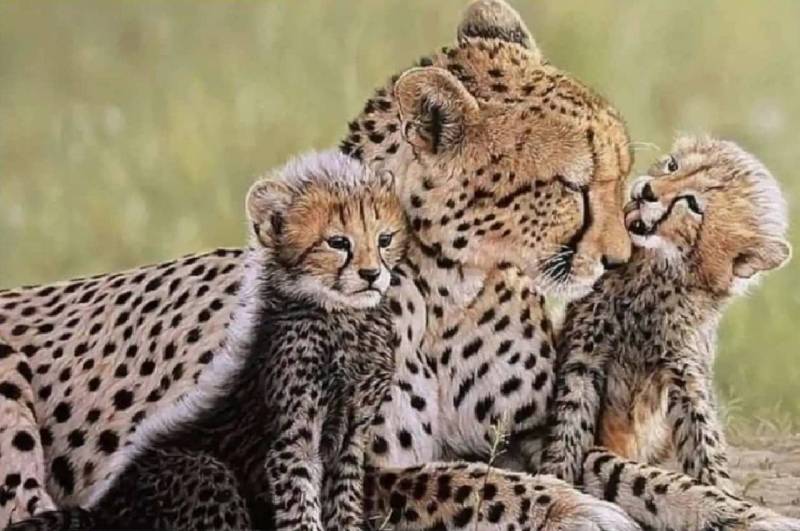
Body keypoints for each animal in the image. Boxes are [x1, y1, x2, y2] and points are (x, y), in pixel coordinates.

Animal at [5, 150, 407, 531]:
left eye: (384, 240)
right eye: (338, 242)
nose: (372, 274)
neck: (345, 319)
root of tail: (101, 510)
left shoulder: (352, 438)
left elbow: (344, 501)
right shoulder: (292, 440)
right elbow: (300, 506)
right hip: (206, 473)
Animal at [540, 136, 792, 502]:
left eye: (692, 203)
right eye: (673, 165)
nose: (646, 191)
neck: (654, 274)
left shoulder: (684, 371)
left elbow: (702, 438)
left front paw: (720, 491)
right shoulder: (584, 358)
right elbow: (570, 424)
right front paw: (556, 477)